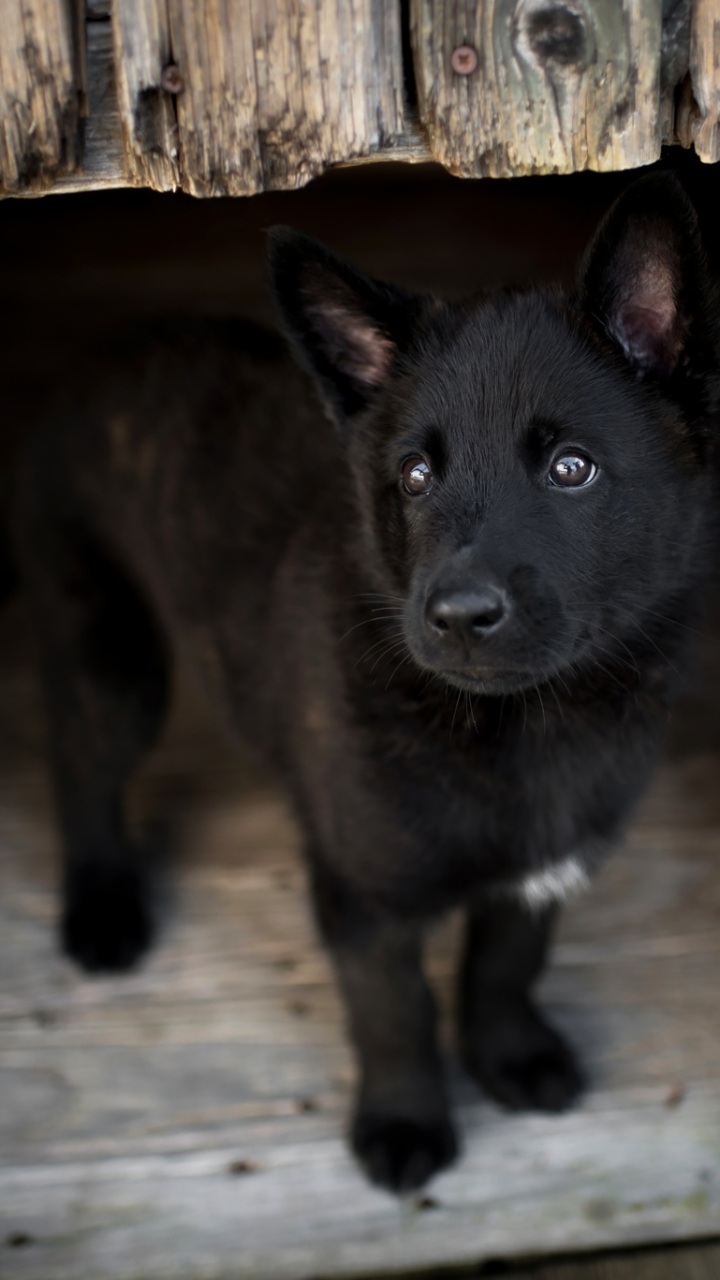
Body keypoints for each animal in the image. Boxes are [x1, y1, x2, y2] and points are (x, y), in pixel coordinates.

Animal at [14, 175, 717, 1192]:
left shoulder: (541, 871)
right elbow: (394, 1011)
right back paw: (103, 910)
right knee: (82, 769)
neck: (520, 727)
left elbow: (506, 963)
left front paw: (509, 1057)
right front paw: (404, 1125)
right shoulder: (364, 894)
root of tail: (94, 360)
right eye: (416, 476)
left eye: (571, 468)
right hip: (111, 656)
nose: (456, 616)